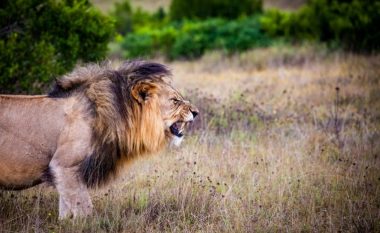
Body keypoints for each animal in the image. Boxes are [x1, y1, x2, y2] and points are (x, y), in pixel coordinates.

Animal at [0, 60, 200, 218]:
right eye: (175, 100)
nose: (196, 112)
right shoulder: (63, 166)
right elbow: (84, 210)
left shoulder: (65, 174)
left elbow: (66, 212)